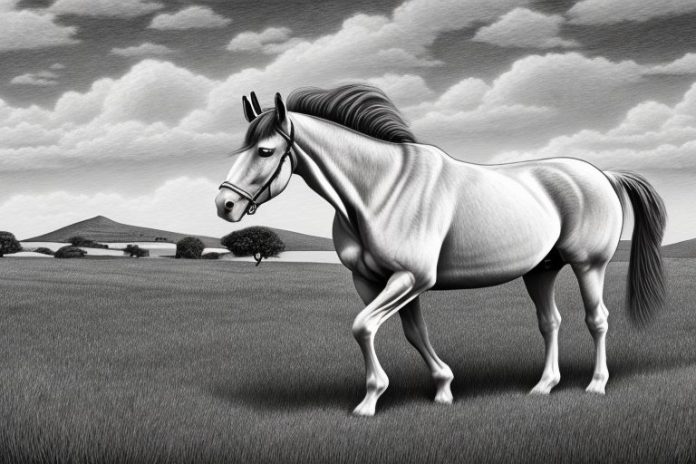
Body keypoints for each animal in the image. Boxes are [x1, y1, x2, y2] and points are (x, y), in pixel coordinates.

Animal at [215, 84, 666, 417]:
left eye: (266, 151)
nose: (224, 205)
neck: (380, 191)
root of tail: (603, 174)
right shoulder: (377, 281)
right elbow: (413, 333)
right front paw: (444, 389)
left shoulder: (410, 278)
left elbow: (363, 327)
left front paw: (369, 401)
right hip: (541, 270)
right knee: (550, 322)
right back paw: (543, 386)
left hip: (589, 265)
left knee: (598, 320)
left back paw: (596, 385)